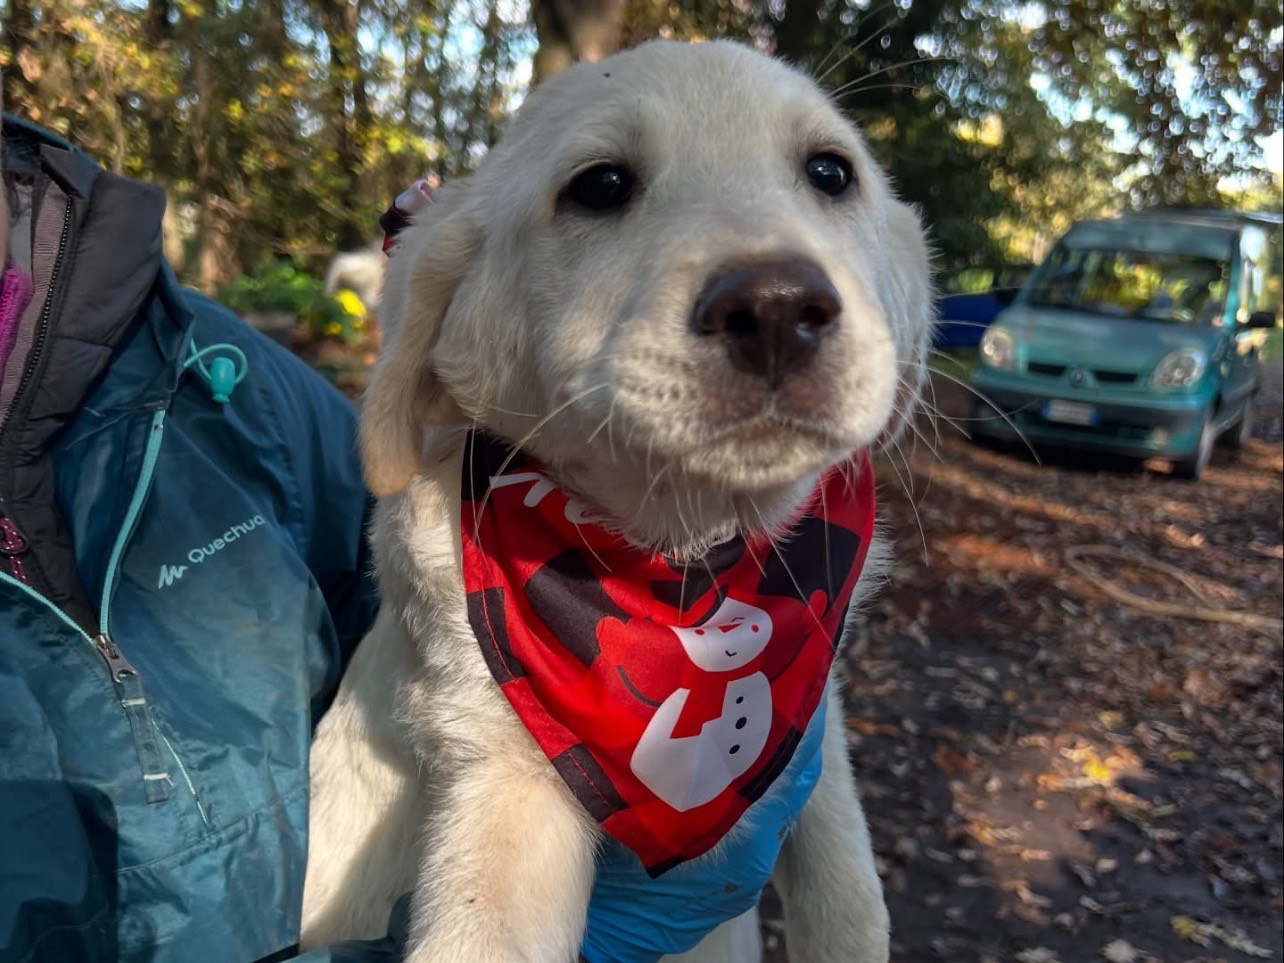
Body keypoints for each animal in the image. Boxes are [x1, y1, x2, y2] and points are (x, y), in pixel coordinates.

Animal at [300, 37, 929, 963]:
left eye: (830, 171)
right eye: (599, 186)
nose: (780, 307)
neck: (685, 567)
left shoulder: (814, 730)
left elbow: (850, 895)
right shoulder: (505, 781)